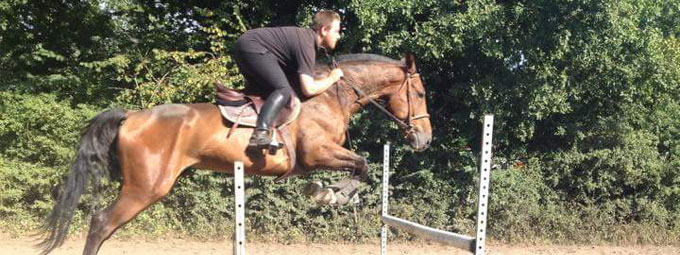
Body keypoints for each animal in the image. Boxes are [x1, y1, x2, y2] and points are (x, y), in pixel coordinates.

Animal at [39, 52, 430, 254]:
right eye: (421, 94)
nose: (425, 140)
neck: (331, 95)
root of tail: (133, 115)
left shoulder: (317, 158)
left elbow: (360, 166)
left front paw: (327, 191)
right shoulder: (316, 153)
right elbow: (363, 165)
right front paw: (330, 195)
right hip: (146, 187)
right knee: (101, 222)